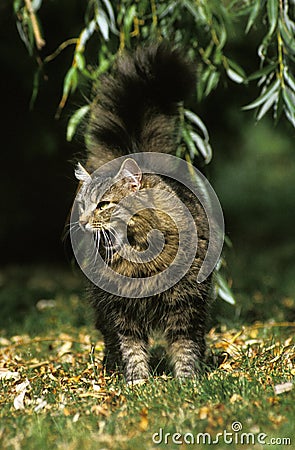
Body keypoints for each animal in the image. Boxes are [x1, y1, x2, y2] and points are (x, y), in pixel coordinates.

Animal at [72, 42, 214, 382]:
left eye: (103, 206)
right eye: (83, 205)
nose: (81, 221)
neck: (137, 250)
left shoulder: (186, 302)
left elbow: (185, 345)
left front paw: (187, 381)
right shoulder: (121, 310)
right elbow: (131, 347)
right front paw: (137, 381)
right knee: (109, 338)